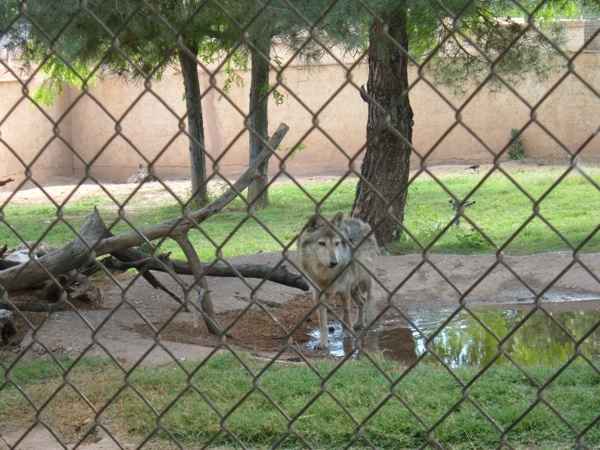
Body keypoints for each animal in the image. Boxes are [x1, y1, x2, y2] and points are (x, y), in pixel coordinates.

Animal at [298, 213, 380, 350]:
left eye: (337, 243)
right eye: (322, 243)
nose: (334, 263)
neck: (325, 274)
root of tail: (361, 222)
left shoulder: (344, 289)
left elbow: (346, 312)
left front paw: (348, 331)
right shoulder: (318, 294)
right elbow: (322, 321)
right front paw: (322, 341)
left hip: (364, 281)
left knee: (370, 300)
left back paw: (370, 321)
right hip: (353, 289)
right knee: (361, 302)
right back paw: (358, 323)